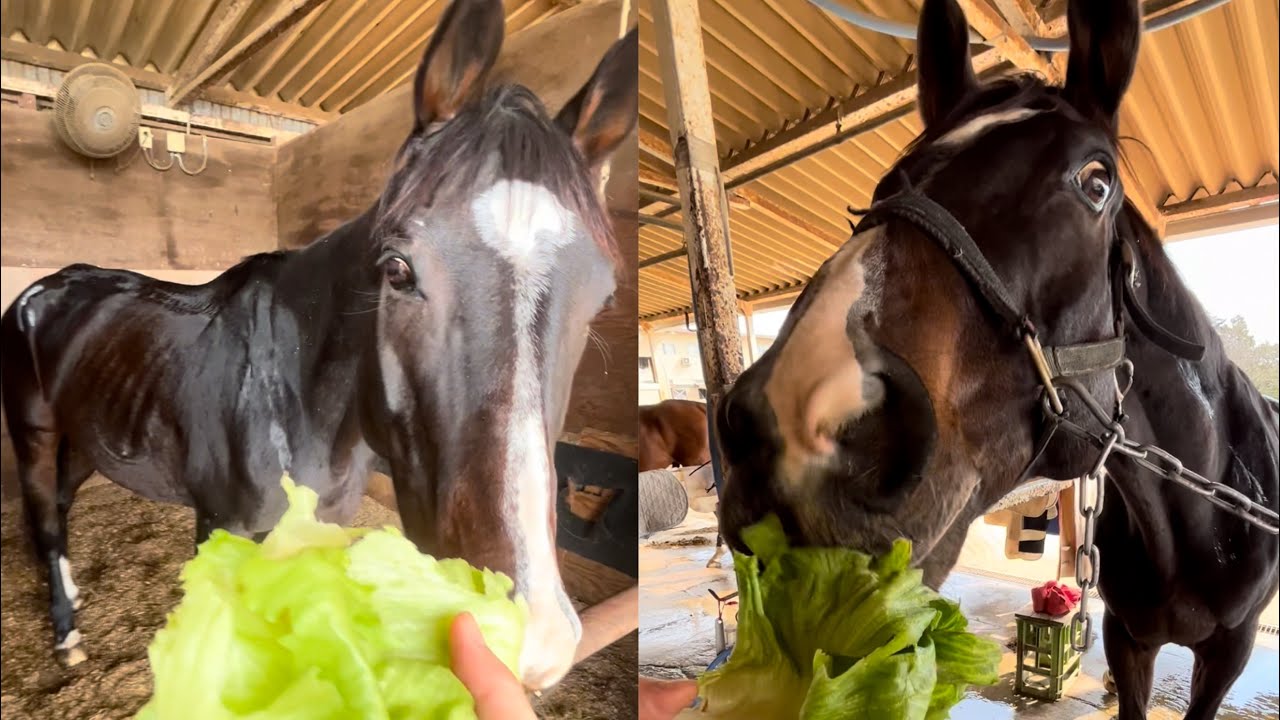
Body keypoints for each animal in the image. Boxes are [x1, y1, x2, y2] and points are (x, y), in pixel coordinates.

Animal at [0, 0, 638, 691]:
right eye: (397, 270)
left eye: (602, 299)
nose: (528, 638)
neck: (294, 399)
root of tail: (42, 289)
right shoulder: (221, 532)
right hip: (34, 434)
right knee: (45, 519)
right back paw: (67, 636)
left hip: (86, 434)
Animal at [712, 1, 1279, 717]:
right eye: (887, 184)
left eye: (1097, 182)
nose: (793, 424)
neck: (1202, 516)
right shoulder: (1128, 638)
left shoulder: (1227, 654)